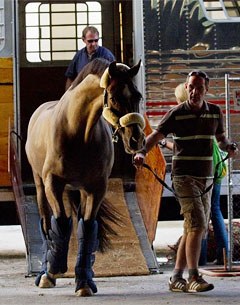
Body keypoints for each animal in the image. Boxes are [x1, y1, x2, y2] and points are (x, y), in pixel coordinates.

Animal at [25, 58, 146, 296]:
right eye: (114, 97)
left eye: (137, 96)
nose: (136, 140)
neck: (77, 132)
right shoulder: (52, 184)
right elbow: (61, 223)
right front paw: (54, 268)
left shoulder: (95, 188)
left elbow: (87, 228)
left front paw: (84, 282)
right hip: (40, 184)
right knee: (45, 223)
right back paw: (45, 273)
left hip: (78, 190)